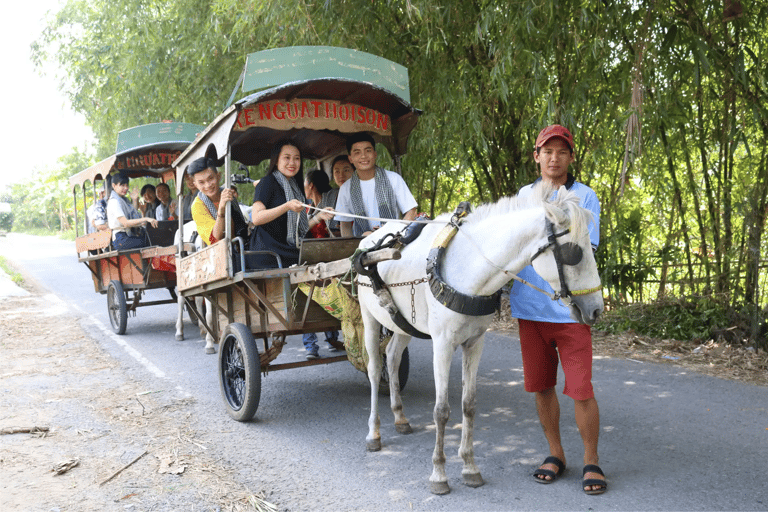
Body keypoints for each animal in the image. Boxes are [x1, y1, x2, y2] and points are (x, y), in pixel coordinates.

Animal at [356, 182, 604, 494]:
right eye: (575, 253)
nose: (596, 309)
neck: (469, 269)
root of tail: (371, 237)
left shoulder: (475, 343)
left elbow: (469, 405)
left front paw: (470, 467)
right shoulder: (442, 344)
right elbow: (441, 410)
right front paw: (439, 474)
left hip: (403, 324)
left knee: (392, 358)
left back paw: (400, 417)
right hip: (368, 316)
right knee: (375, 368)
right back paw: (373, 433)